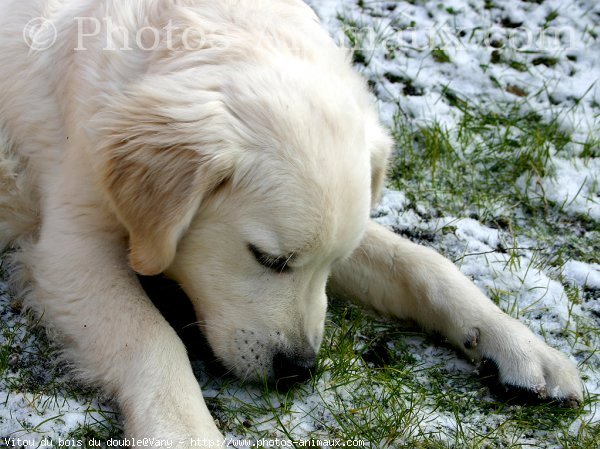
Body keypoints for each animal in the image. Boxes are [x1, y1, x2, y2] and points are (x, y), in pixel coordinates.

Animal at [0, 0, 580, 444]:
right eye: (267, 259)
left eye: (328, 265)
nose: (299, 370)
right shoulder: (69, 250)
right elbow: (151, 336)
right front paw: (184, 431)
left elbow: (421, 262)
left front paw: (519, 345)